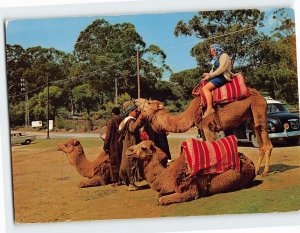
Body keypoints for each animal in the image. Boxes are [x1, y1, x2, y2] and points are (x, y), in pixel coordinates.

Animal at [135, 88, 274, 176]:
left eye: (149, 102)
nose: (136, 100)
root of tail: (262, 97)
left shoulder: (208, 127)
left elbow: (212, 146)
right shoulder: (202, 129)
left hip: (259, 110)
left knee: (266, 140)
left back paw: (265, 172)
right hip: (252, 116)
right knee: (260, 140)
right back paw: (257, 171)